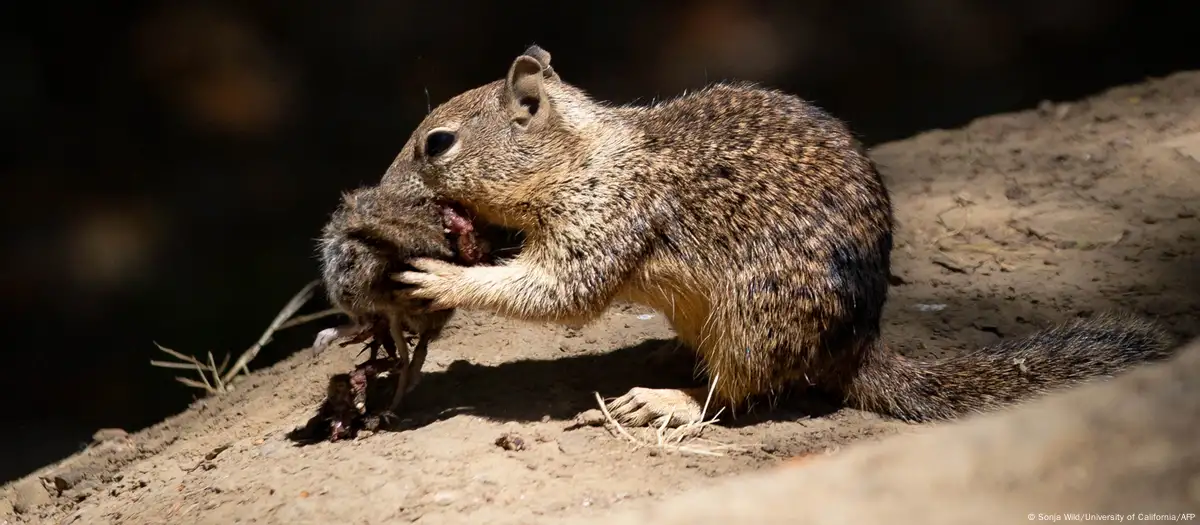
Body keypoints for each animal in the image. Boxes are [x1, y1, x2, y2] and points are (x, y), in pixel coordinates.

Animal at [360, 45, 1176, 426]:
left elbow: (561, 290)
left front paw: (442, 277)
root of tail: (856, 346)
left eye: (437, 144)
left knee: (737, 391)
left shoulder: (608, 215)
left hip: (754, 319)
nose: (381, 190)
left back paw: (668, 398)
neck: (582, 155)